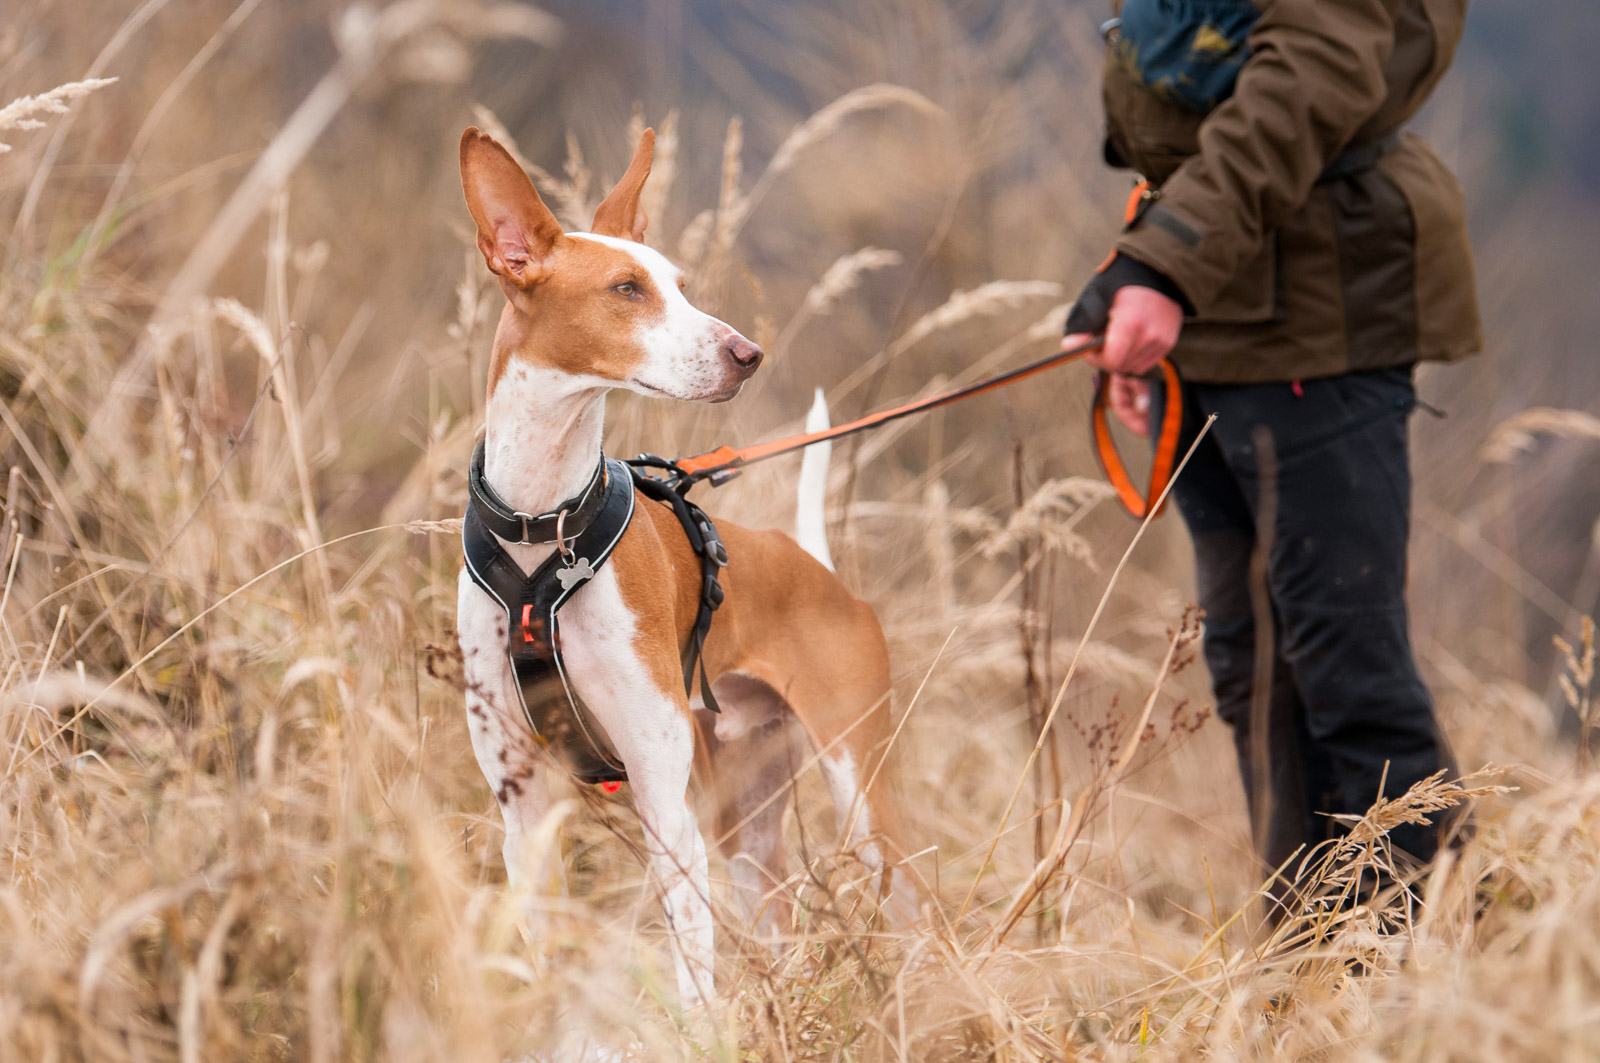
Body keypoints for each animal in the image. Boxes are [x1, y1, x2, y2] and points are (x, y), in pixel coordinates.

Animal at [457, 128, 921, 1011]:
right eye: (626, 288)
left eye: (678, 284)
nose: (748, 354)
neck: (543, 526)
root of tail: (815, 567)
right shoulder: (522, 810)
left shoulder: (665, 807)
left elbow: (695, 989)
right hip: (747, 825)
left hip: (861, 794)